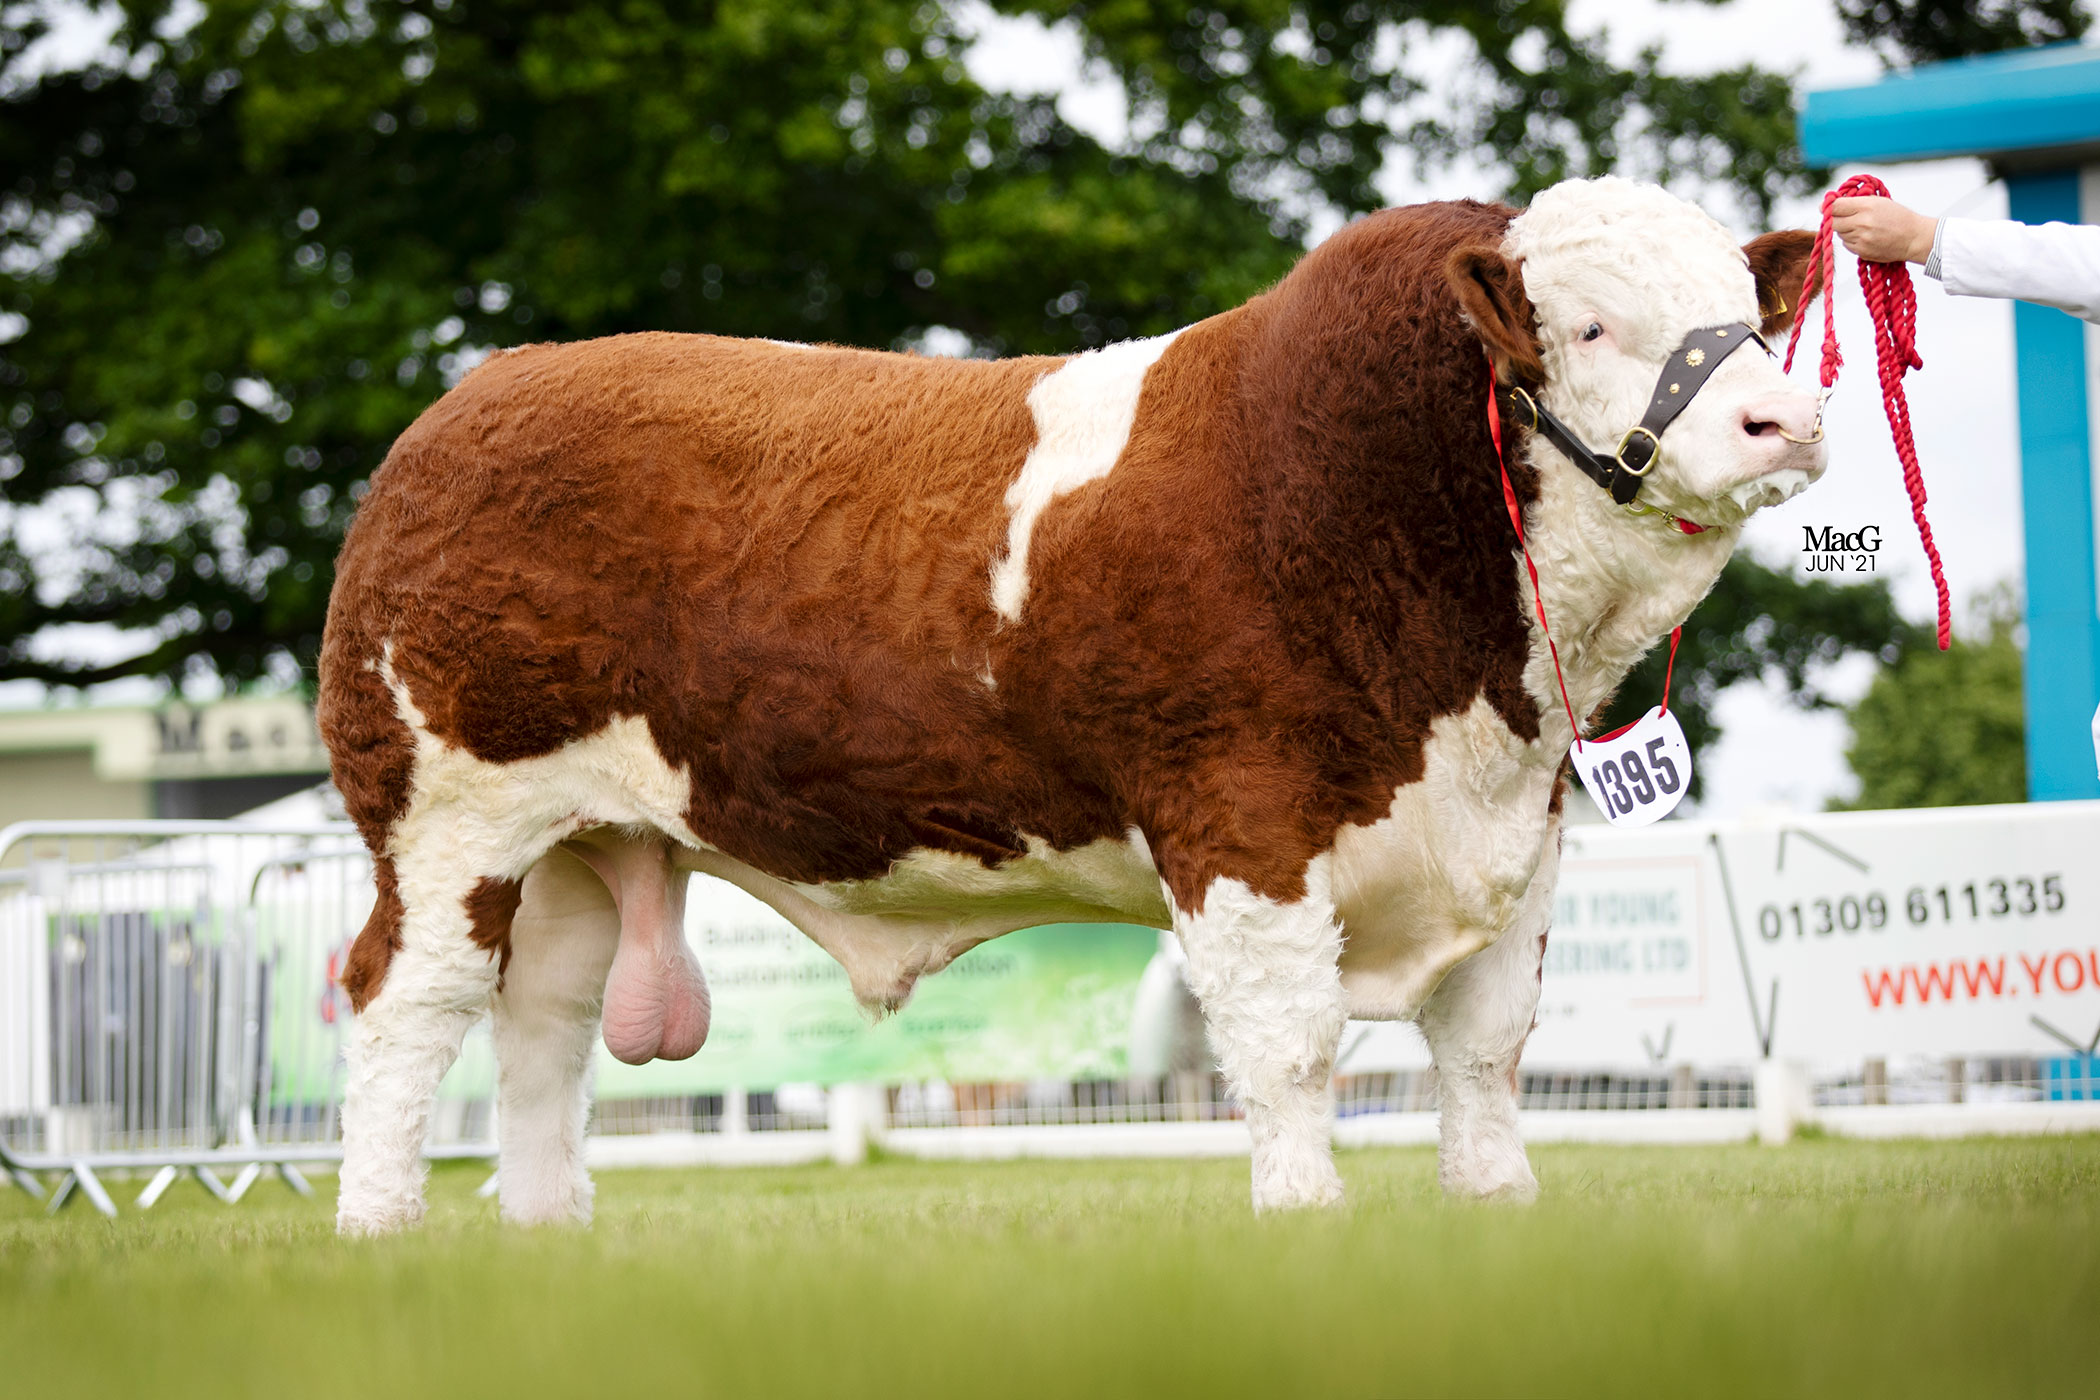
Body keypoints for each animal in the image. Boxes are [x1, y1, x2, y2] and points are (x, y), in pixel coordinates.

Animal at [315, 178, 1822, 1234]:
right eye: (1591, 323)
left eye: (1754, 317)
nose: (1786, 421)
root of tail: (473, 397)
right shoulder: (1238, 820)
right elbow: (1288, 1049)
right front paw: (1307, 1225)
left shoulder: (1524, 841)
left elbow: (1489, 1053)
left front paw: (1498, 1216)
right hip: (446, 821)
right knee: (404, 1005)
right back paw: (382, 1231)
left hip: (583, 842)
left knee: (542, 1024)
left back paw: (543, 1234)